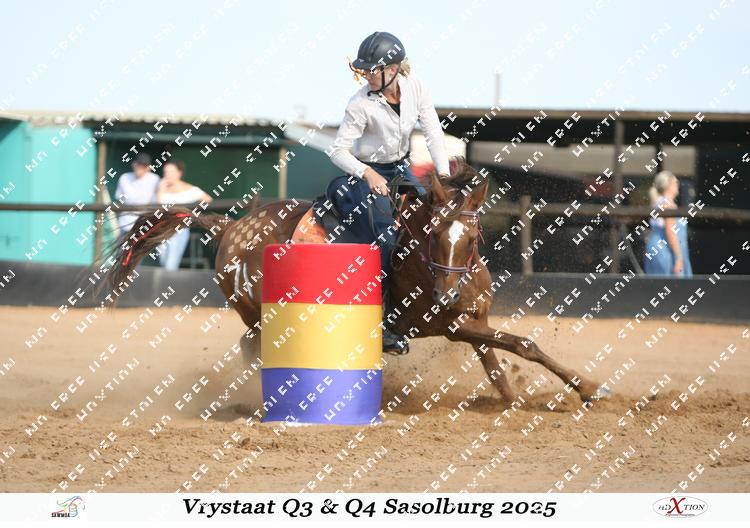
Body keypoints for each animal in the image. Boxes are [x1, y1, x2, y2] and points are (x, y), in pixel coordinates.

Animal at [106, 158, 609, 413]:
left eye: (470, 238)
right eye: (433, 235)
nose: (444, 295)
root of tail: (228, 225)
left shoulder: (474, 318)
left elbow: (500, 359)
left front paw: (516, 398)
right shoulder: (446, 326)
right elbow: (521, 343)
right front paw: (586, 387)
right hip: (257, 312)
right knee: (253, 348)